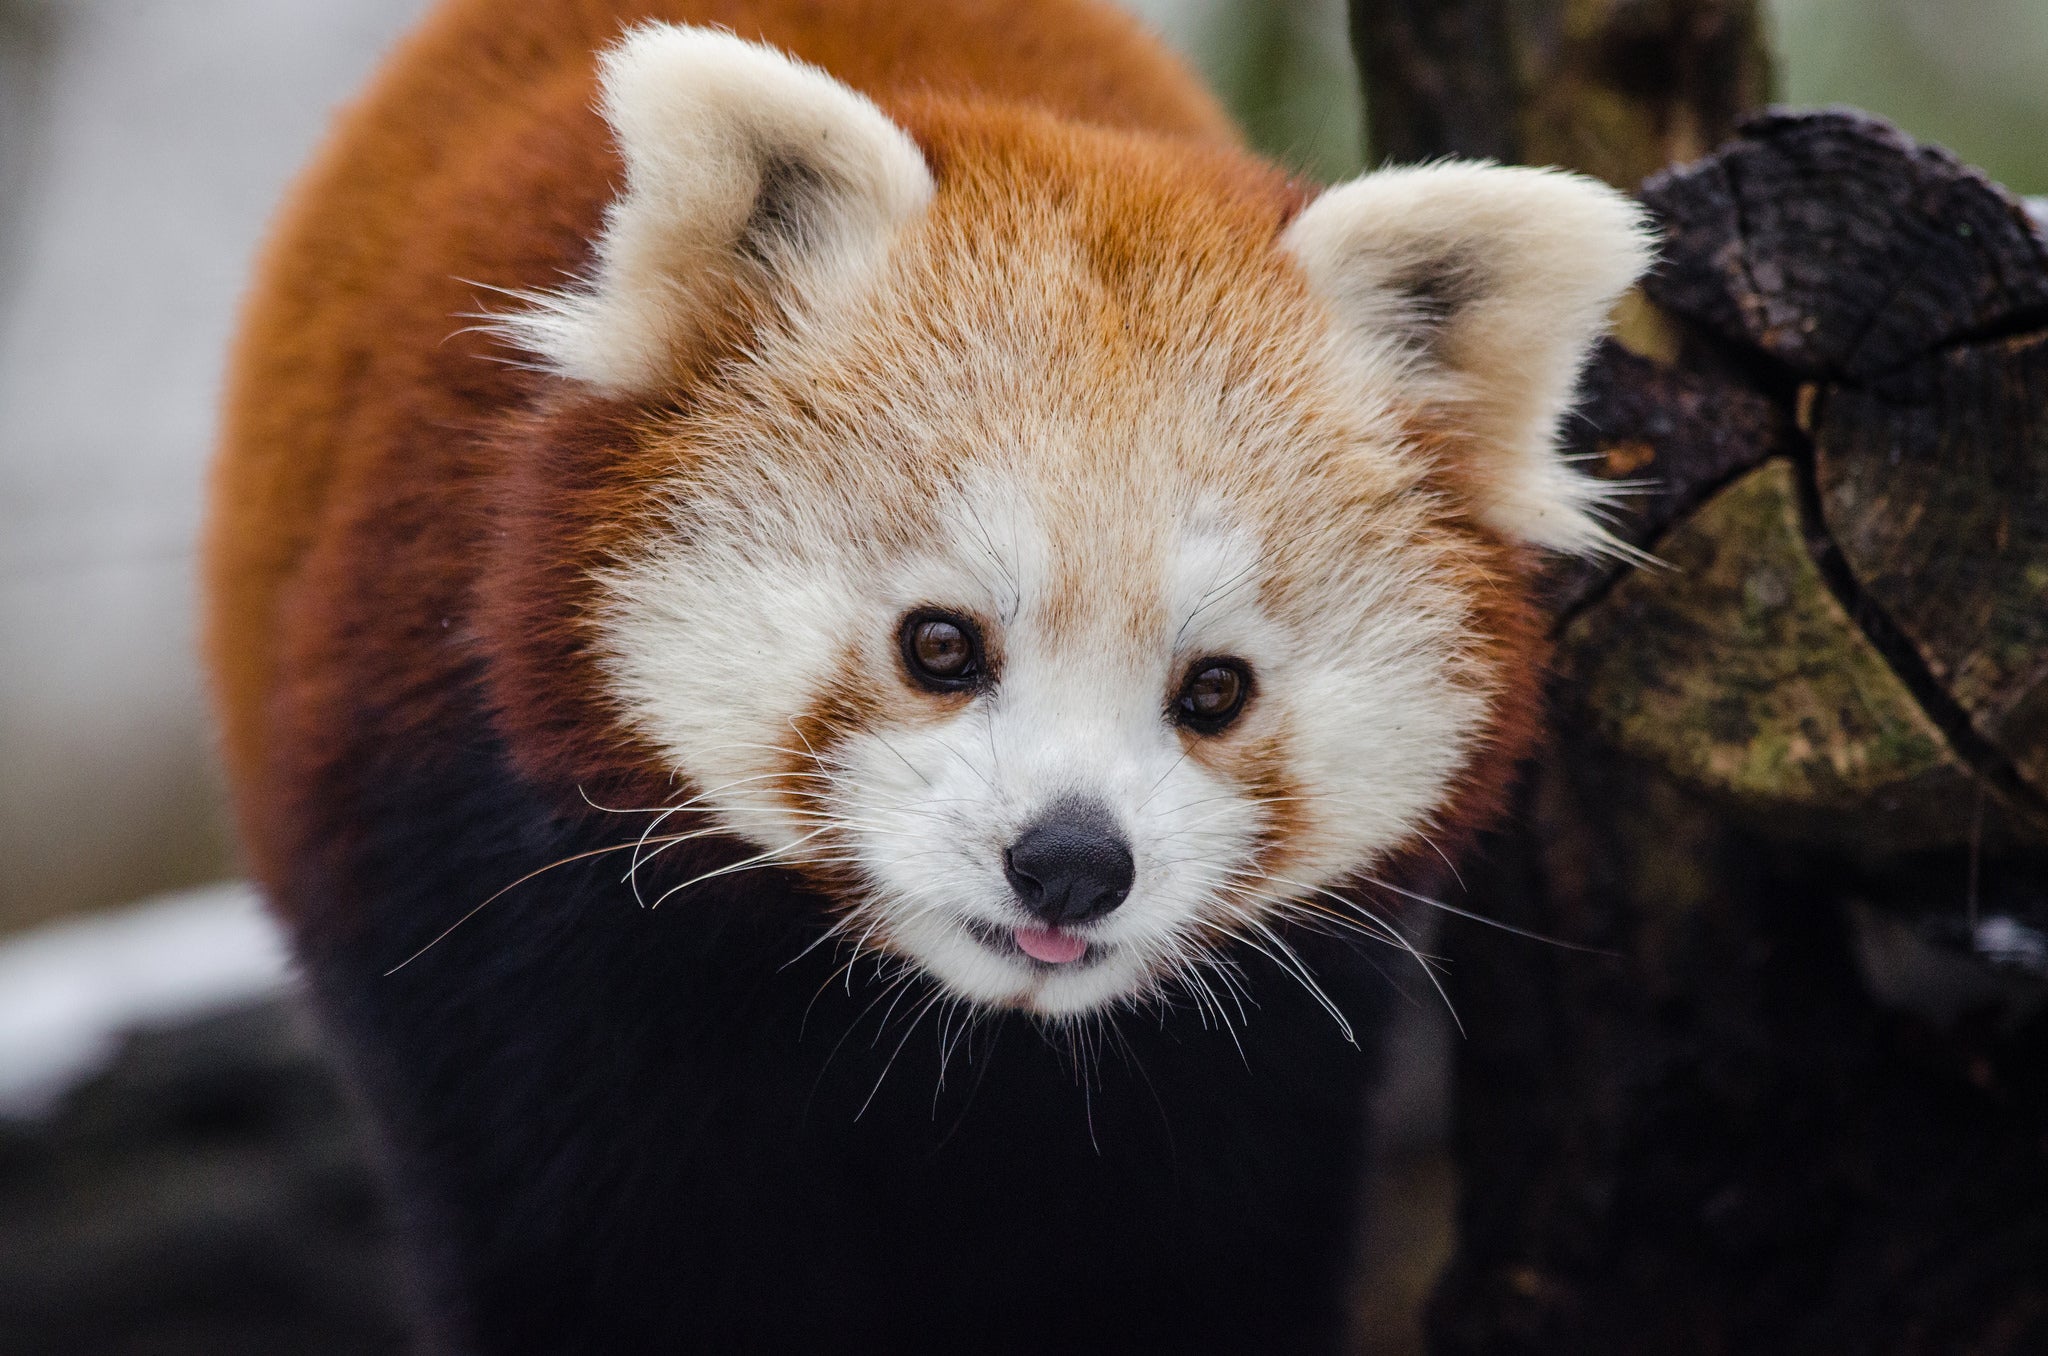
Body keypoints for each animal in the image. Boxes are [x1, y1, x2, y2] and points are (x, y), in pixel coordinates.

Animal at [207, 5, 1646, 1351]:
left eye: (1215, 690)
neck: (940, 1036)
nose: (1070, 863)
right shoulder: (512, 922)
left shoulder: (1255, 1064)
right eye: (939, 644)